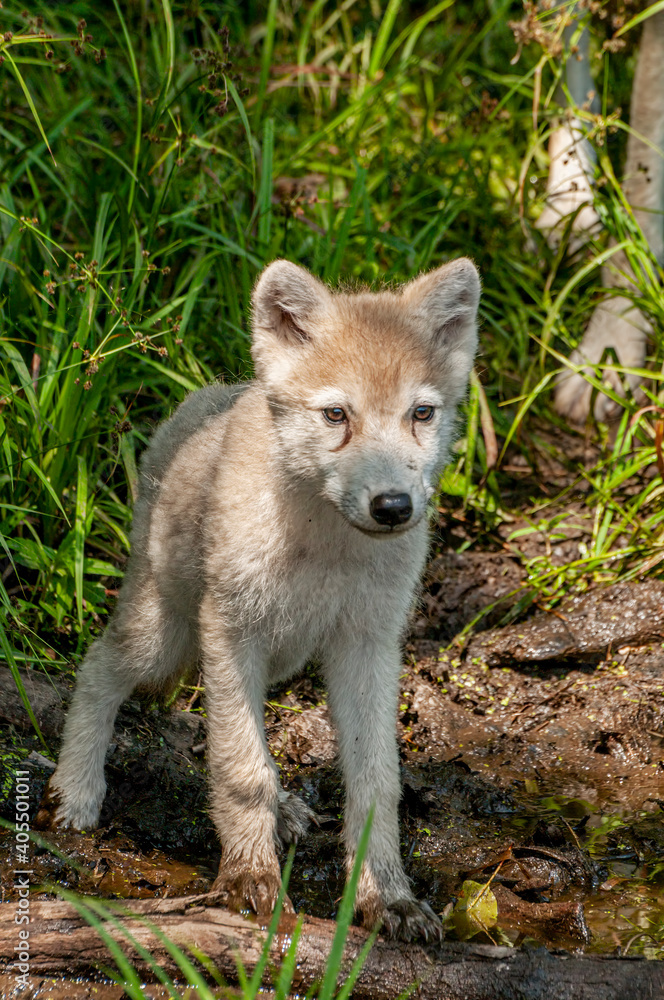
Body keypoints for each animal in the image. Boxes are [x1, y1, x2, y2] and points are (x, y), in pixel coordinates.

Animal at [37, 258, 480, 941]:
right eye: (336, 415)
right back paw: (76, 792)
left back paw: (288, 811)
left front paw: (387, 898)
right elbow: (242, 769)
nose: (393, 507)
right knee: (97, 670)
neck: (324, 546)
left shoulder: (369, 646)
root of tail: (211, 394)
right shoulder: (230, 629)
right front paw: (250, 881)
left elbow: (375, 781)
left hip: (276, 654)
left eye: (422, 413)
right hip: (166, 636)